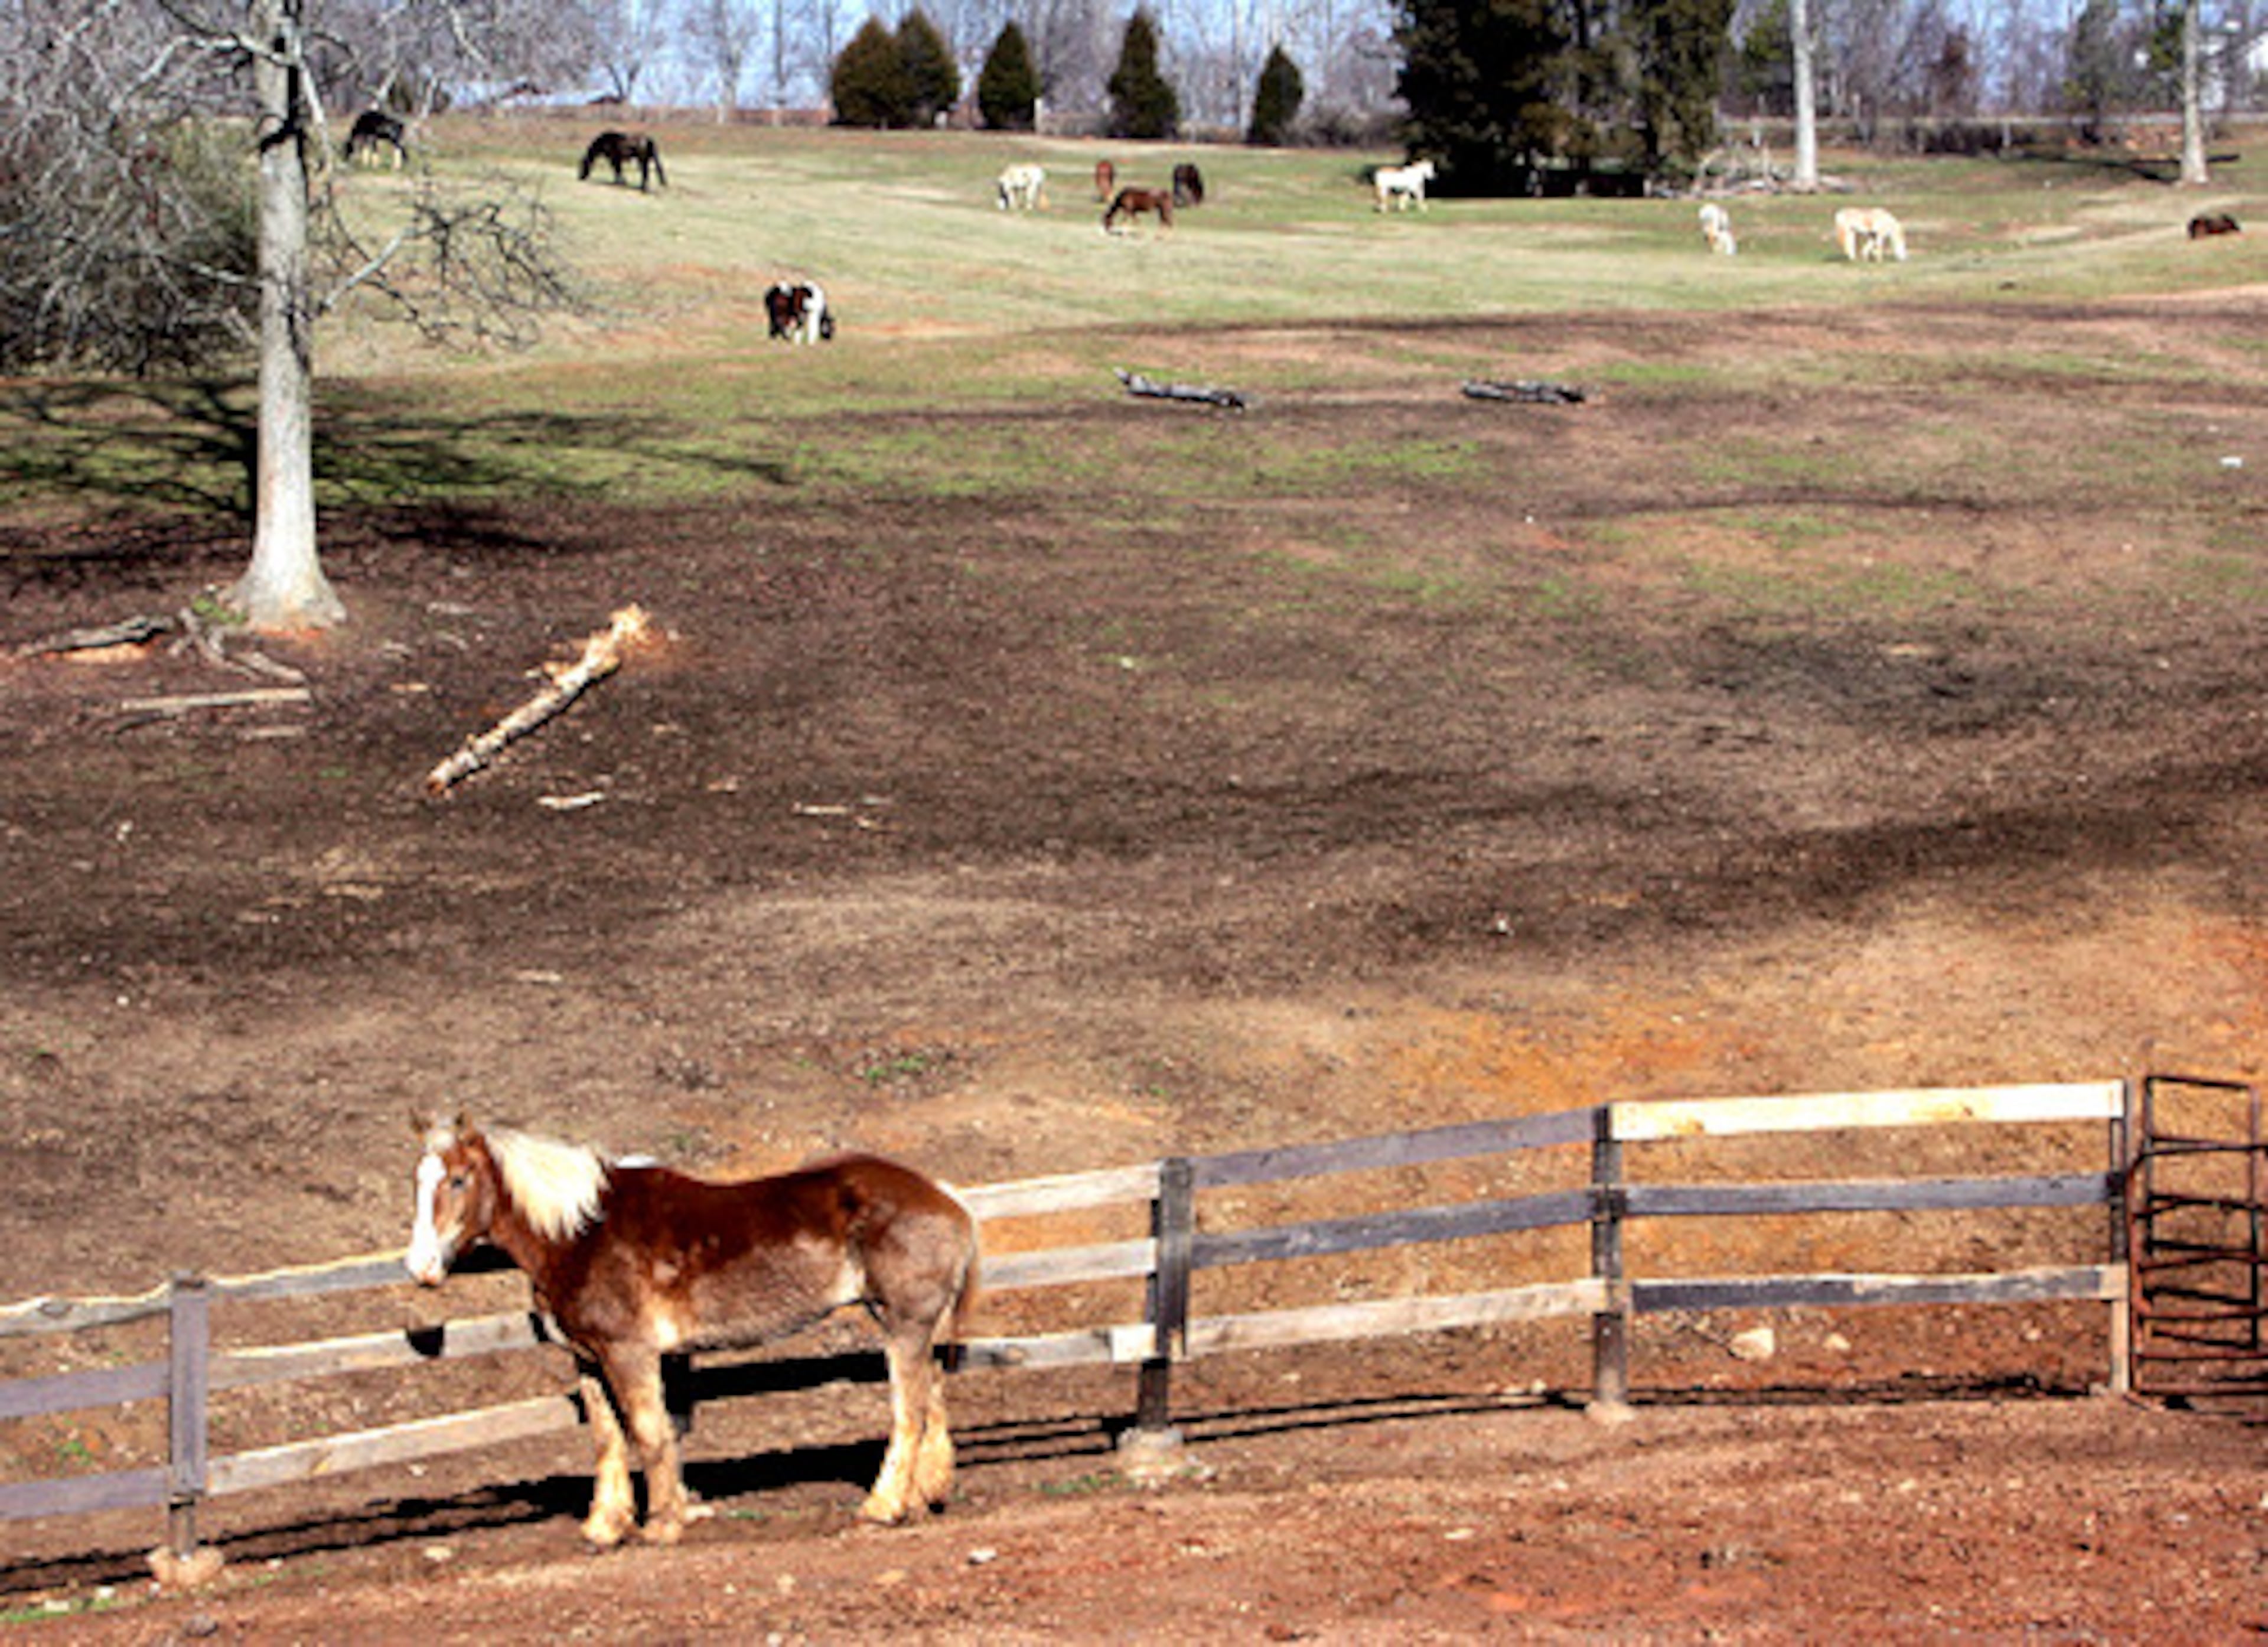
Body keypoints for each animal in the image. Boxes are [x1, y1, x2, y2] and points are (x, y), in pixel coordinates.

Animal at [405, 1116, 977, 1547]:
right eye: (418, 1182)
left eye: (458, 1180)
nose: (420, 1268)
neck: (582, 1233)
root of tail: (946, 1199)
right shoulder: (588, 1358)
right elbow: (608, 1439)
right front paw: (605, 1527)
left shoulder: (630, 1354)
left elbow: (650, 1432)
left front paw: (662, 1524)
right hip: (911, 1327)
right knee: (932, 1400)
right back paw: (924, 1497)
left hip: (903, 1323)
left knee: (909, 1412)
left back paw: (882, 1507)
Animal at [580, 131, 667, 192]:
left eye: (583, 165)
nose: (581, 178)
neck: (606, 141)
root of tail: (647, 139)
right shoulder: (617, 160)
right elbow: (618, 170)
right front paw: (622, 182)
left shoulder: (614, 159)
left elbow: (617, 170)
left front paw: (618, 183)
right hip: (646, 160)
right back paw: (643, 188)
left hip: (642, 160)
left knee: (645, 172)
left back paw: (643, 188)